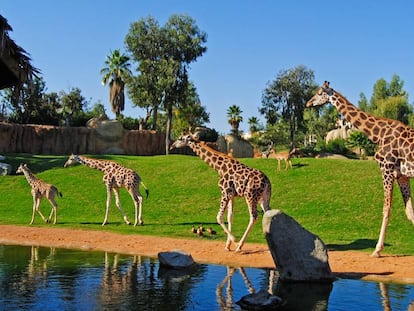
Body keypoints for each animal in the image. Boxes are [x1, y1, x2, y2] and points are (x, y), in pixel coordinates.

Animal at [306, 81, 414, 258]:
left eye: (319, 92)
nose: (308, 103)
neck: (379, 134)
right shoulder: (402, 175)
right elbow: (410, 212)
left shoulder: (386, 168)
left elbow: (386, 209)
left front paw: (377, 250)